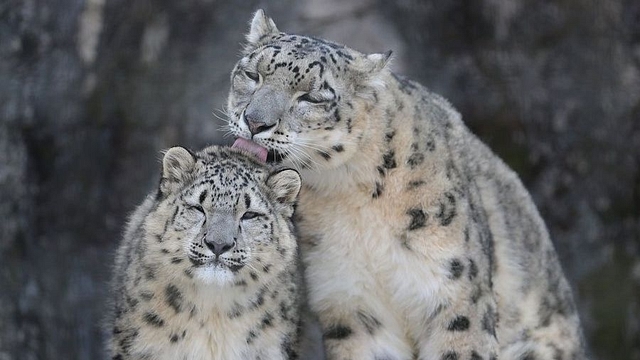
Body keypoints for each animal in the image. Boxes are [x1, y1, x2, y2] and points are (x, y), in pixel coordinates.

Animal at [228, 9, 588, 360]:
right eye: (252, 75)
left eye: (312, 97)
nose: (255, 121)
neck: (350, 199)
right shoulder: (354, 303)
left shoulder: (455, 293)